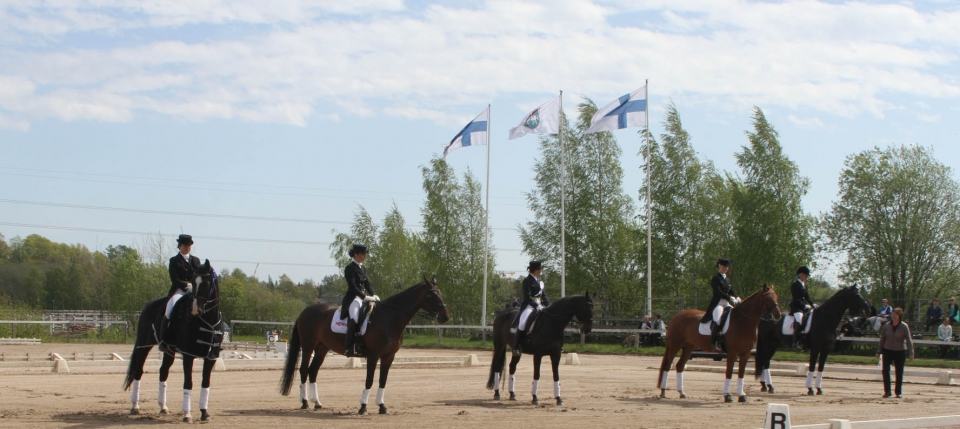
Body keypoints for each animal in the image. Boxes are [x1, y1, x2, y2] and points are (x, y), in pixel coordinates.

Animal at [121, 258, 222, 422]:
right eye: (193, 282)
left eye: (207, 283)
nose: (196, 309)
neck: (207, 320)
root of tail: (148, 306)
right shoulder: (188, 355)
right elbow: (188, 383)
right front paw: (187, 415)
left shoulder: (211, 357)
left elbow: (205, 383)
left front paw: (204, 413)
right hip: (143, 345)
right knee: (138, 371)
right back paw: (135, 407)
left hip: (168, 351)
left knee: (163, 371)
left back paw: (163, 407)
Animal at [280, 278, 448, 414]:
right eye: (431, 295)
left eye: (440, 293)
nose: (445, 317)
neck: (389, 318)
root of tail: (305, 312)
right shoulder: (373, 355)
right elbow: (370, 379)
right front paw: (363, 407)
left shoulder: (389, 356)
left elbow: (382, 380)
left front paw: (382, 406)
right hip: (308, 346)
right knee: (303, 370)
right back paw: (305, 402)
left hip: (322, 348)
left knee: (313, 371)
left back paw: (317, 403)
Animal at [656, 284, 784, 402]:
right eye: (768, 298)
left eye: (776, 296)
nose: (778, 315)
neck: (743, 321)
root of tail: (676, 316)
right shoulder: (732, 353)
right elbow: (729, 372)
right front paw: (727, 396)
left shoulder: (745, 353)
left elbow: (741, 374)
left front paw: (741, 396)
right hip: (675, 345)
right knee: (667, 366)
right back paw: (663, 392)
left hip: (688, 347)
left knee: (680, 366)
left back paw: (681, 393)